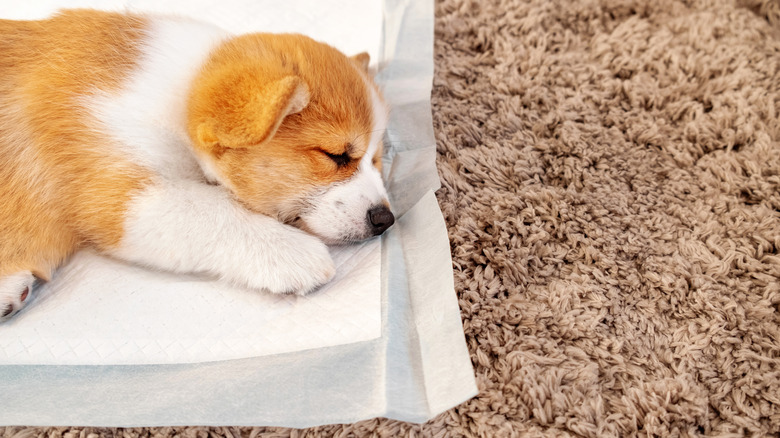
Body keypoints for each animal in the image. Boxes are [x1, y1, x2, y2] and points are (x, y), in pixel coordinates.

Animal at [0, 8, 396, 320]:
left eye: (375, 159)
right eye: (336, 156)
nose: (385, 220)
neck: (178, 96)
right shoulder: (117, 194)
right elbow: (211, 210)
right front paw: (293, 253)